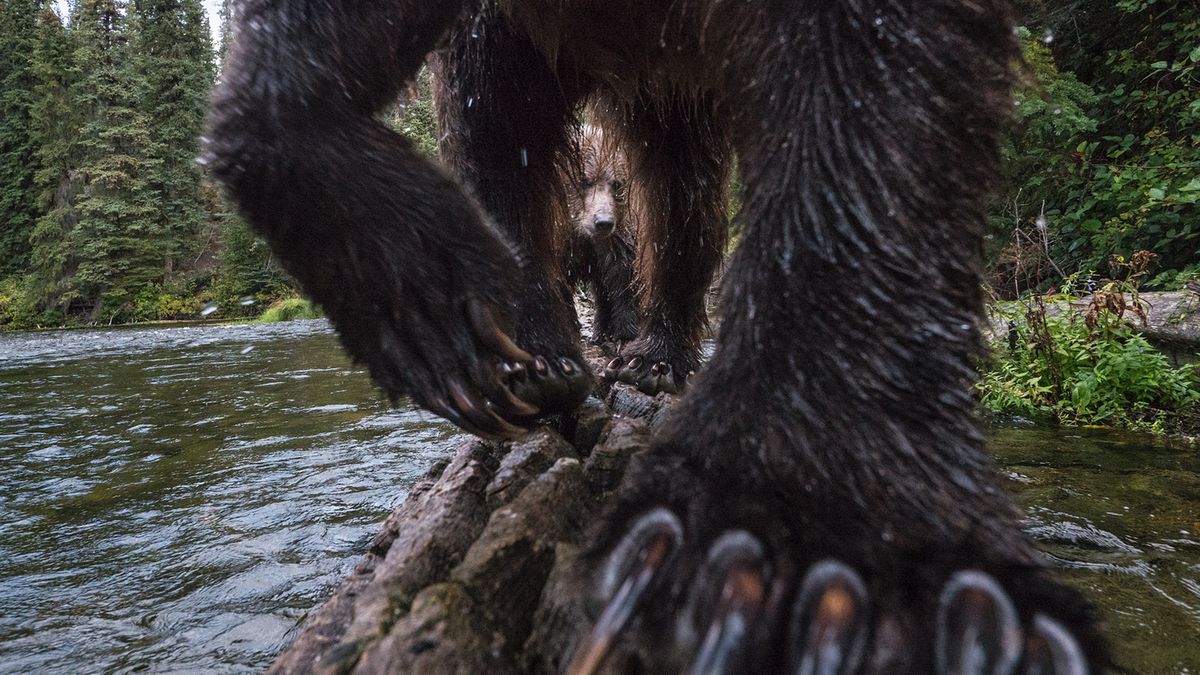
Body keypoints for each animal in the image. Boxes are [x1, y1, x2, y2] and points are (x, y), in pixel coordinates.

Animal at [206, 0, 1107, 671]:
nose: (604, 217)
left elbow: (874, 91)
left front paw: (823, 565)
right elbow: (478, 116)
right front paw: (449, 314)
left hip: (678, 85)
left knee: (681, 200)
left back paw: (654, 355)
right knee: (504, 128)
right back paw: (532, 353)